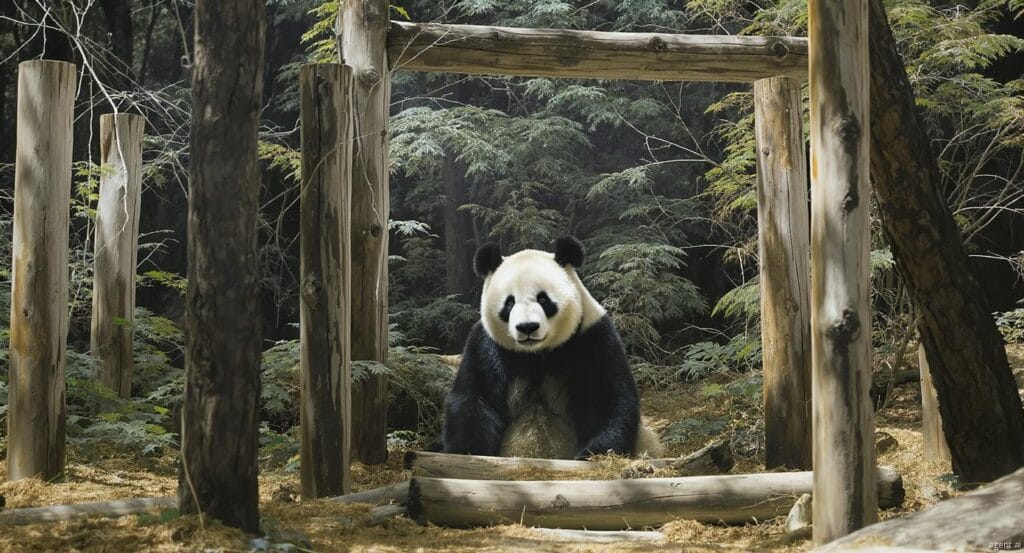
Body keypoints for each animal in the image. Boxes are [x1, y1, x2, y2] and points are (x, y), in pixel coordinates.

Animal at [441, 236, 661, 459]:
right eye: (509, 303)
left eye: (543, 299)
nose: (527, 327)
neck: (537, 354)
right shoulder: (487, 345)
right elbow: (474, 398)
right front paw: (469, 450)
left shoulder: (592, 336)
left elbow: (606, 397)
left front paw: (595, 452)